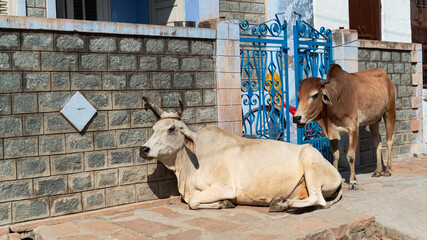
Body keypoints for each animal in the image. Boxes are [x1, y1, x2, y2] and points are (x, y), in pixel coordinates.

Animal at [140, 96, 344, 211]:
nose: (144, 149)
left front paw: (224, 203)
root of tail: (337, 174)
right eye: (153, 129)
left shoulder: (225, 187)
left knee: (318, 200)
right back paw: (281, 201)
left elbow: (193, 201)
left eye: (172, 128)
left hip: (311, 166)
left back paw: (282, 204)